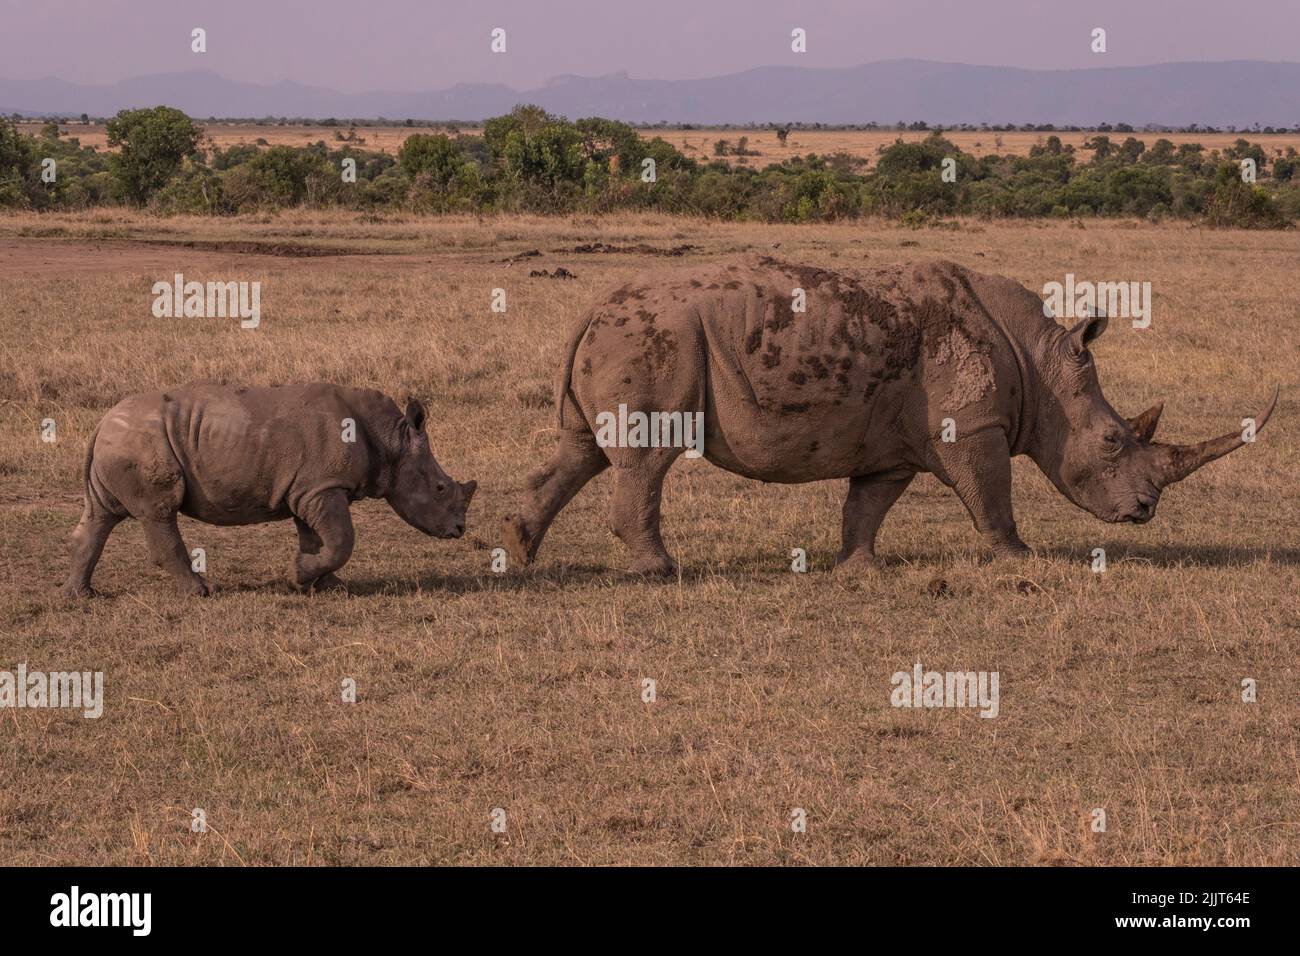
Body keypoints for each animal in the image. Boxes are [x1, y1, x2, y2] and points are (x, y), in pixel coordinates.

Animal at [62, 382, 478, 598]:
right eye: (441, 488)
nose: (459, 529)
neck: (391, 439)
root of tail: (101, 422)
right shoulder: (322, 488)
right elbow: (342, 540)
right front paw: (298, 576)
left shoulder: (311, 489)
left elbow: (318, 539)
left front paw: (324, 584)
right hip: (140, 442)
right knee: (159, 512)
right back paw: (201, 592)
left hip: (123, 442)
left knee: (101, 515)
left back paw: (81, 596)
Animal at [501, 256, 1274, 574]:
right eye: (1114, 441)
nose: (1145, 510)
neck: (1043, 365)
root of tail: (593, 307)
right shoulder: (975, 426)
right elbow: (993, 497)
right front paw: (1021, 559)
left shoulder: (893, 442)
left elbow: (867, 505)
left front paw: (856, 569)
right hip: (657, 338)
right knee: (647, 456)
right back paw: (661, 572)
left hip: (629, 338)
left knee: (583, 450)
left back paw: (519, 549)